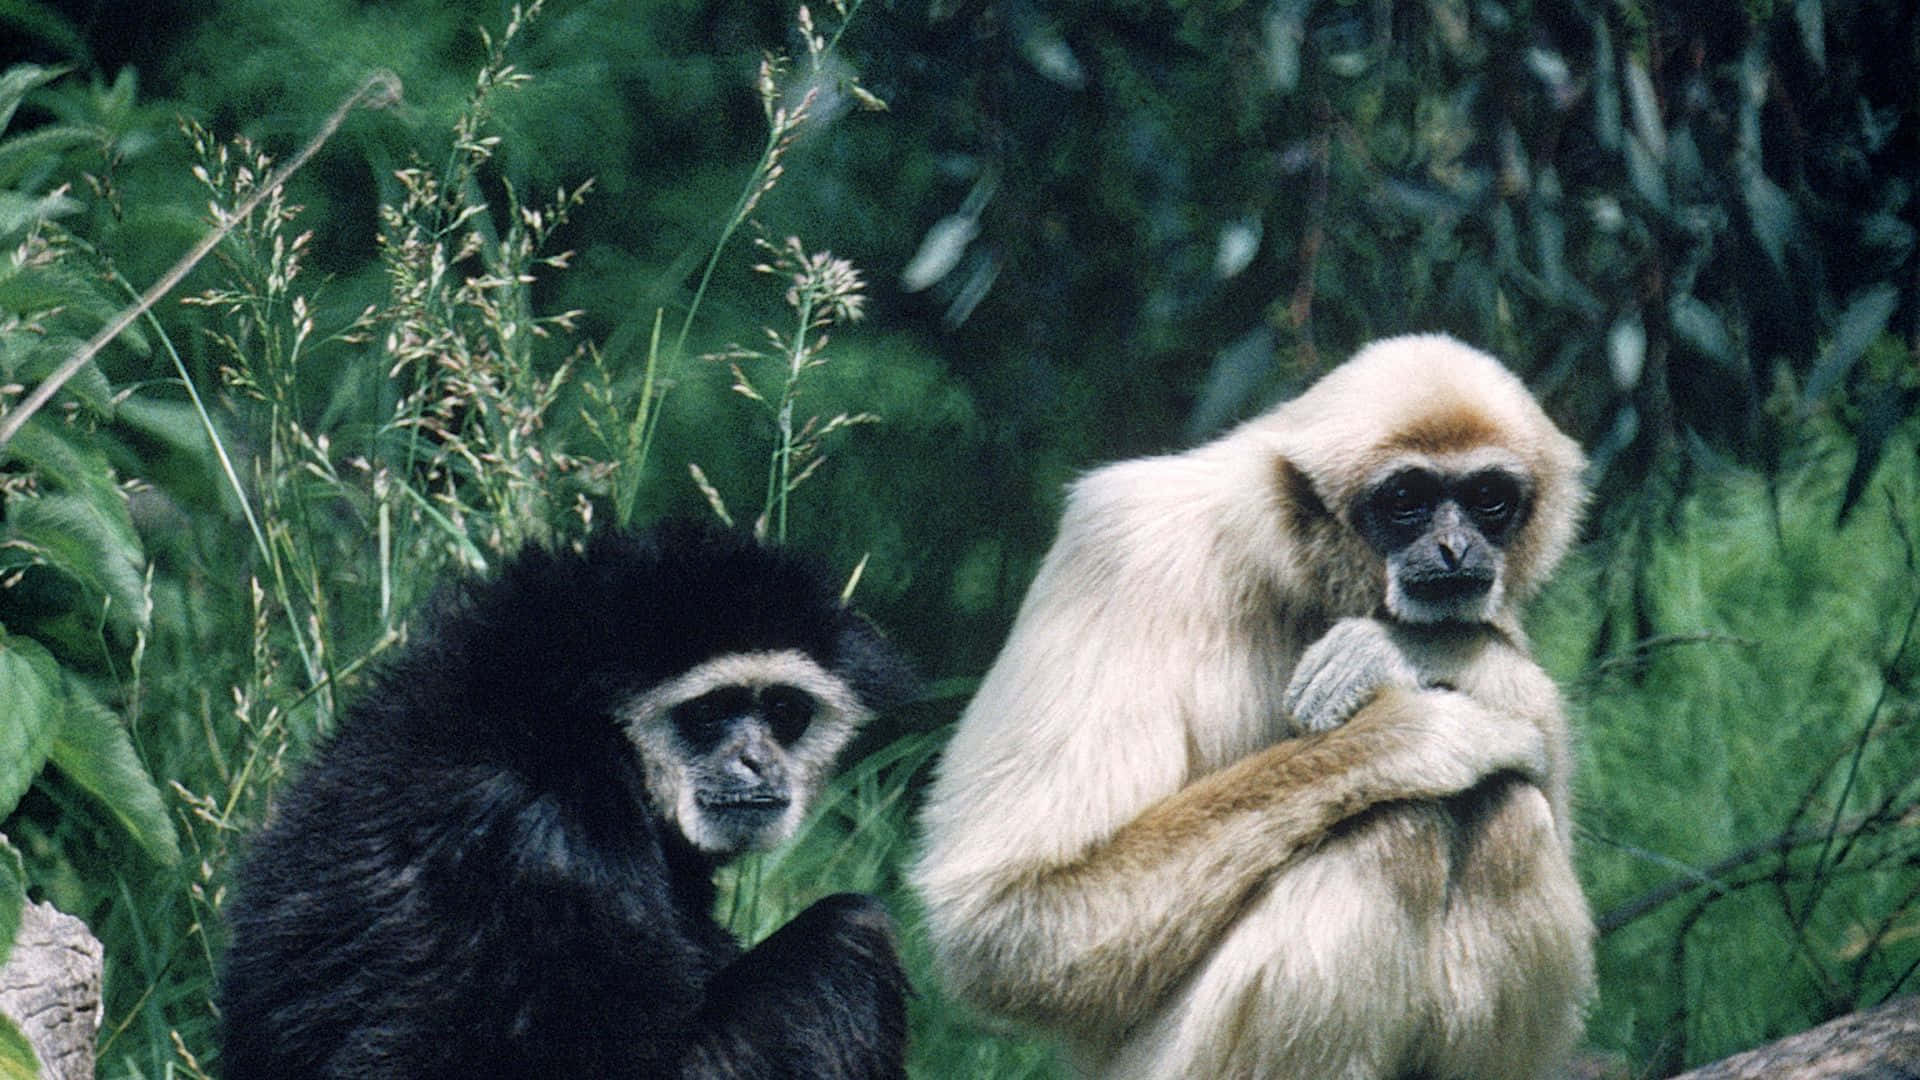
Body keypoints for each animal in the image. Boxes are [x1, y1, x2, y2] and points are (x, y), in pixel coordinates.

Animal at [219, 521, 918, 1080]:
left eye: (784, 712)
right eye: (710, 712)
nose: (757, 760)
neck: (559, 720)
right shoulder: (553, 843)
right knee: (849, 936)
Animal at [911, 334, 1594, 1079]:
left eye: (1488, 498)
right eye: (1406, 498)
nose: (1455, 546)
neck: (1295, 570)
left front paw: (1414, 650)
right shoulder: (1120, 550)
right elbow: (1007, 917)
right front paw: (1413, 731)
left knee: (1509, 809)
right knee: (1396, 827)